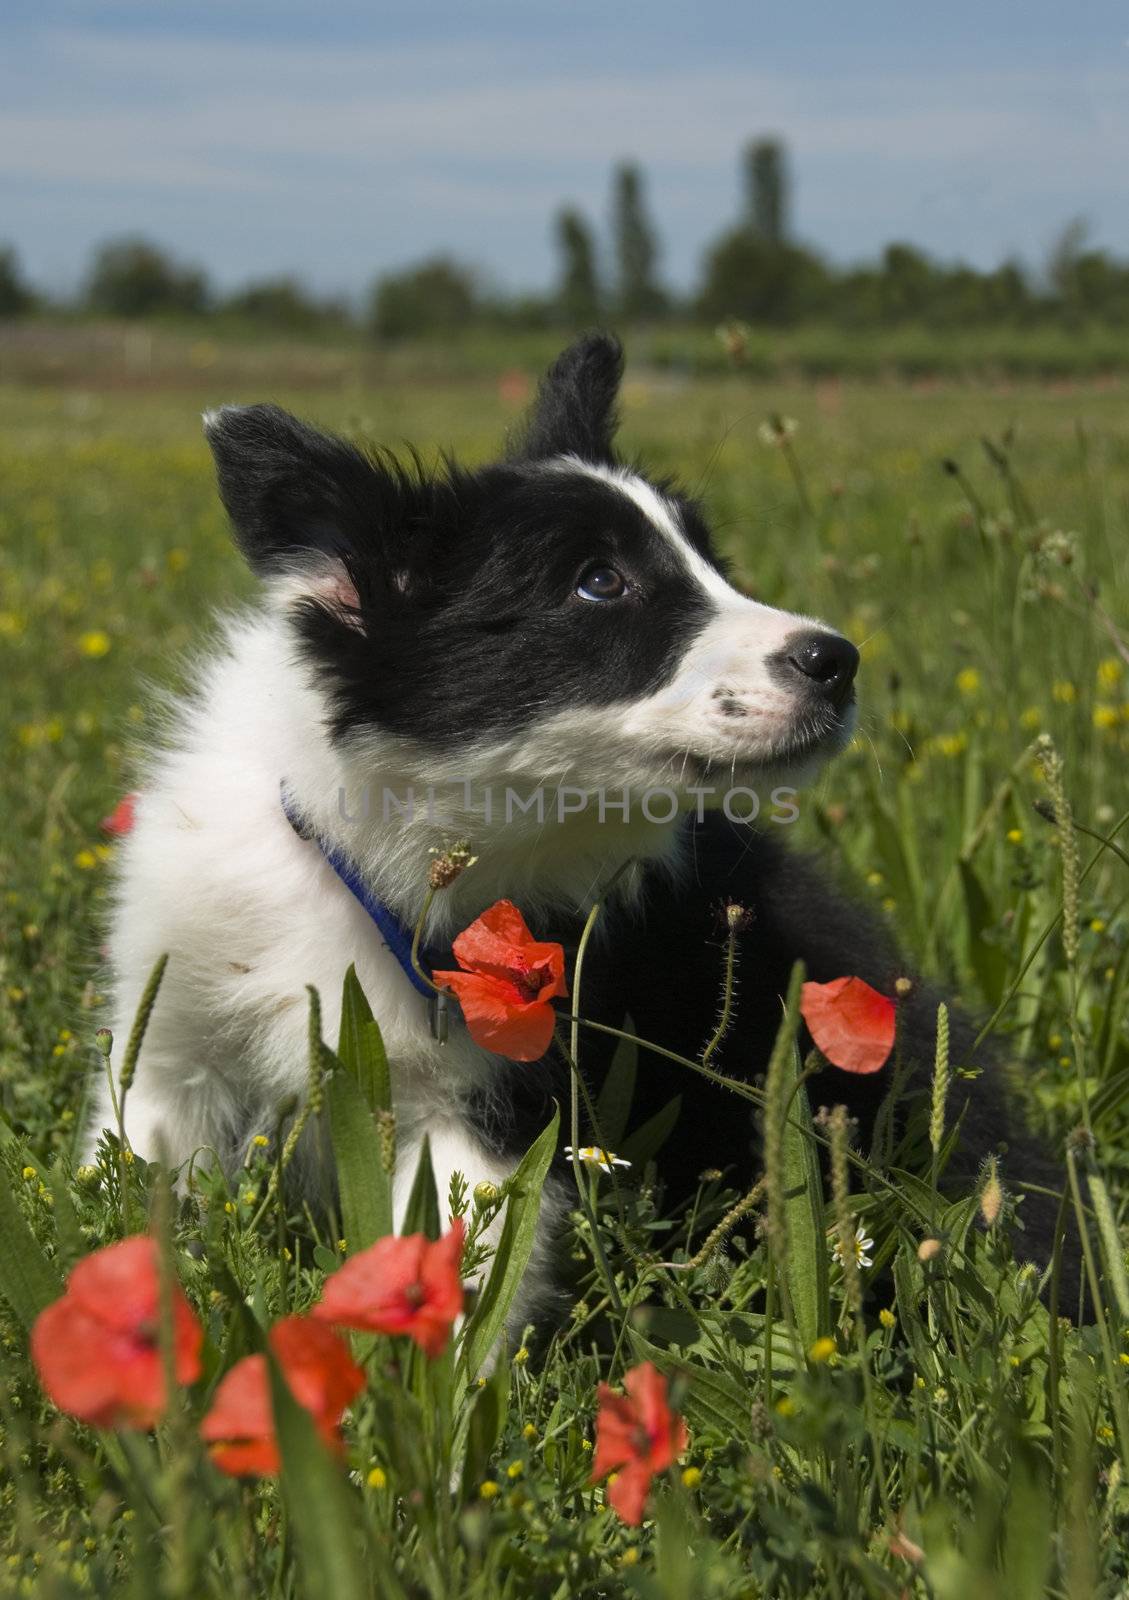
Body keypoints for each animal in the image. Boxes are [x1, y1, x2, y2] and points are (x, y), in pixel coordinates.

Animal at [90, 334, 1061, 1312]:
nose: (837, 661)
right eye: (599, 583)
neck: (356, 851)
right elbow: (130, 1187)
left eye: (711, 558)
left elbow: (458, 1280)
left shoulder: (495, 1110)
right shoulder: (167, 1045)